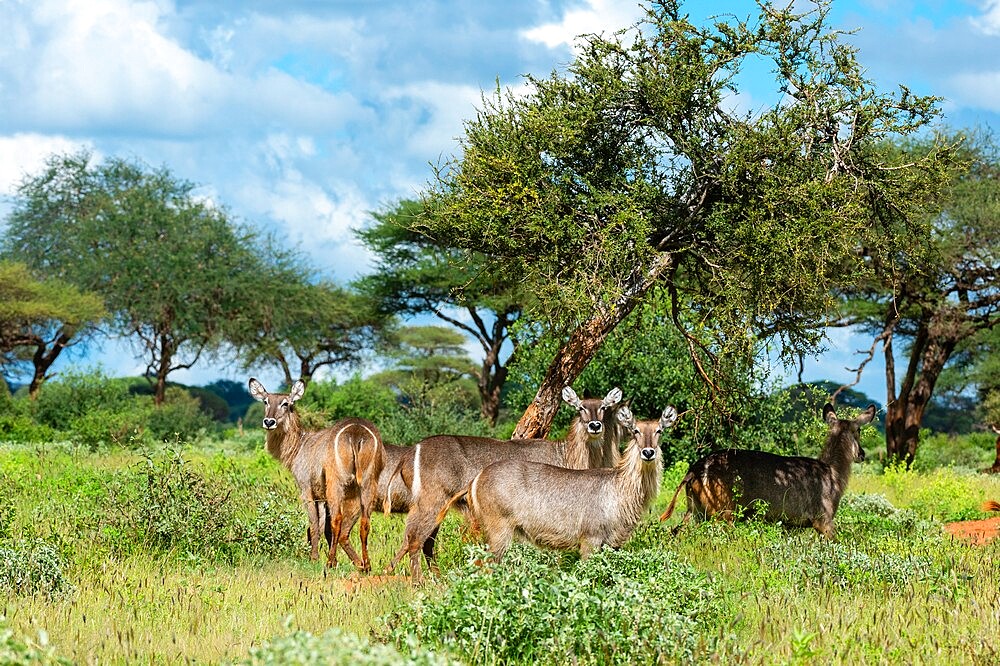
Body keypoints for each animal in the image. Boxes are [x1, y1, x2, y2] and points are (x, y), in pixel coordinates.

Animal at [248, 376, 384, 568]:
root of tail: (356, 433)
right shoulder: (321, 496)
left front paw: (314, 558)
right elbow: (321, 526)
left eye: (286, 403)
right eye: (266, 401)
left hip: (337, 483)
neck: (300, 445)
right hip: (367, 484)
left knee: (337, 520)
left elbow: (314, 524)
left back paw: (330, 563)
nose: (269, 422)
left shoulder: (306, 489)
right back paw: (365, 565)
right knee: (364, 523)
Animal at [386, 386, 628, 580]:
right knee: (415, 540)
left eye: (604, 407)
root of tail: (411, 451)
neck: (566, 454)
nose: (595, 426)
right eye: (580, 408)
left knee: (422, 541)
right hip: (432, 503)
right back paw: (419, 582)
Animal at [440, 404, 680, 560]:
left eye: (659, 430)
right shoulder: (590, 540)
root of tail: (476, 479)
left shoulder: (613, 545)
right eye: (635, 430)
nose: (648, 452)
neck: (619, 489)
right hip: (498, 529)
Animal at [660, 402, 872, 536]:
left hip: (695, 510)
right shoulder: (824, 520)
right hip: (721, 513)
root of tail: (693, 470)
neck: (833, 472)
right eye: (859, 430)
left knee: (676, 531)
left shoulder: (790, 524)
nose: (862, 454)